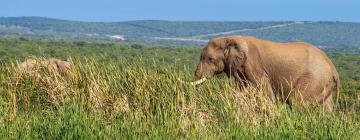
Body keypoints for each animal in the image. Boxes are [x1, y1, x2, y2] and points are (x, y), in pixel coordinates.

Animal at [193, 35, 338, 112]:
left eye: (210, 59)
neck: (228, 39)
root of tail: (333, 67)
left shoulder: (254, 66)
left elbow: (265, 92)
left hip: (314, 78)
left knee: (297, 101)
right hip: (322, 82)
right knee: (326, 108)